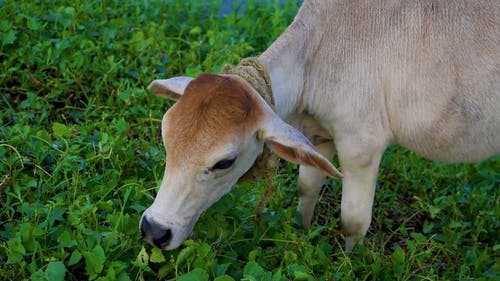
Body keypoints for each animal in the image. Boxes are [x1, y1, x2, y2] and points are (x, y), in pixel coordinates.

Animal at [139, 0, 500, 249]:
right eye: (166, 139)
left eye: (224, 162)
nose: (154, 230)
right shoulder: (316, 135)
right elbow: (307, 188)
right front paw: (301, 232)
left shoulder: (361, 146)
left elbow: (353, 221)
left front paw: (349, 261)